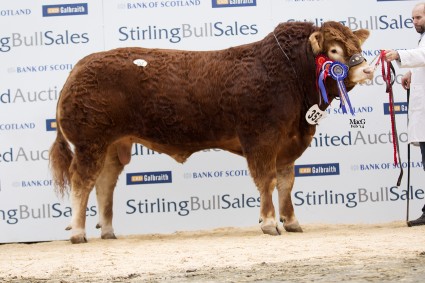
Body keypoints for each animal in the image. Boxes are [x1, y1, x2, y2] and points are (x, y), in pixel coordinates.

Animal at [49, 21, 372, 244]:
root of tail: (79, 67)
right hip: (90, 142)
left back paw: (108, 231)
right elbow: (266, 180)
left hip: (113, 145)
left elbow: (286, 183)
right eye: (334, 50)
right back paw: (77, 232)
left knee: (104, 184)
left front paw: (291, 221)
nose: (368, 70)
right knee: (82, 182)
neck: (290, 75)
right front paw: (269, 223)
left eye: (357, 45)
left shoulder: (289, 143)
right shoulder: (261, 138)